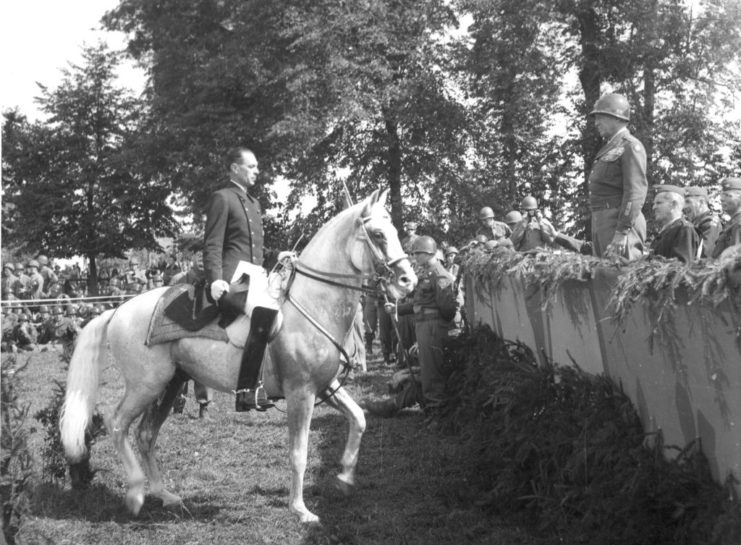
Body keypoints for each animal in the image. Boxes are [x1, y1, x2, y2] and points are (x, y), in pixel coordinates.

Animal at [57, 188, 416, 524]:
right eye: (379, 234)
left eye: (395, 230)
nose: (408, 281)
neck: (312, 303)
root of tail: (118, 309)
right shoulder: (301, 392)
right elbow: (298, 452)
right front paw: (300, 509)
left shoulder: (326, 386)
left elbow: (358, 419)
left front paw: (343, 477)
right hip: (146, 385)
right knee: (118, 424)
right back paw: (135, 493)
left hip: (170, 383)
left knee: (145, 434)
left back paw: (165, 495)